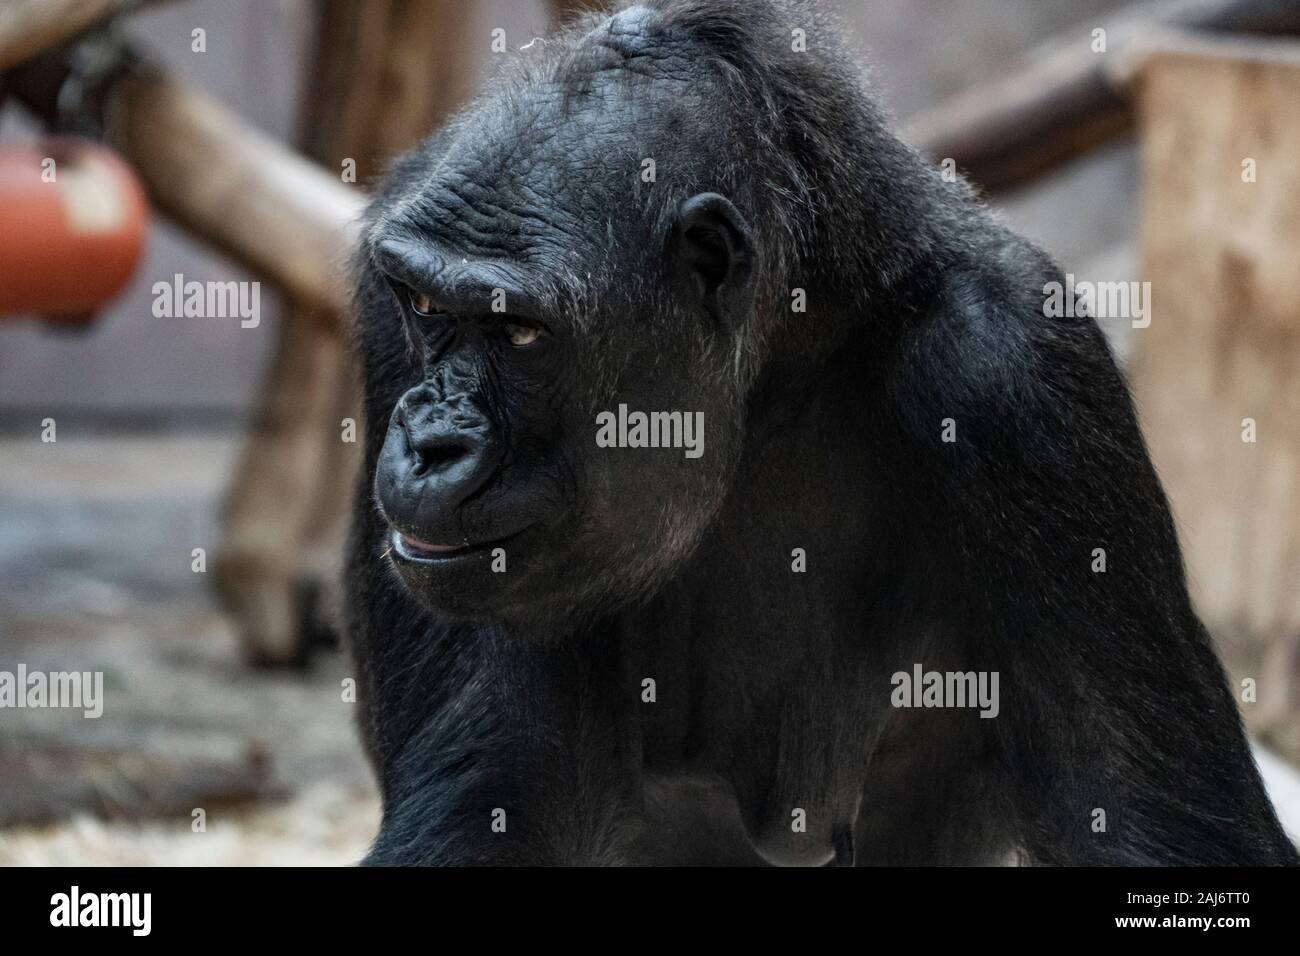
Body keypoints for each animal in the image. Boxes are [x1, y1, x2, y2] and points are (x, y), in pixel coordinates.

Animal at [345, 0, 1300, 868]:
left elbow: (1145, 816)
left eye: (518, 331)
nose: (430, 440)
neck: (779, 360)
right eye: (426, 306)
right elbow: (506, 784)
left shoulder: (1023, 379)